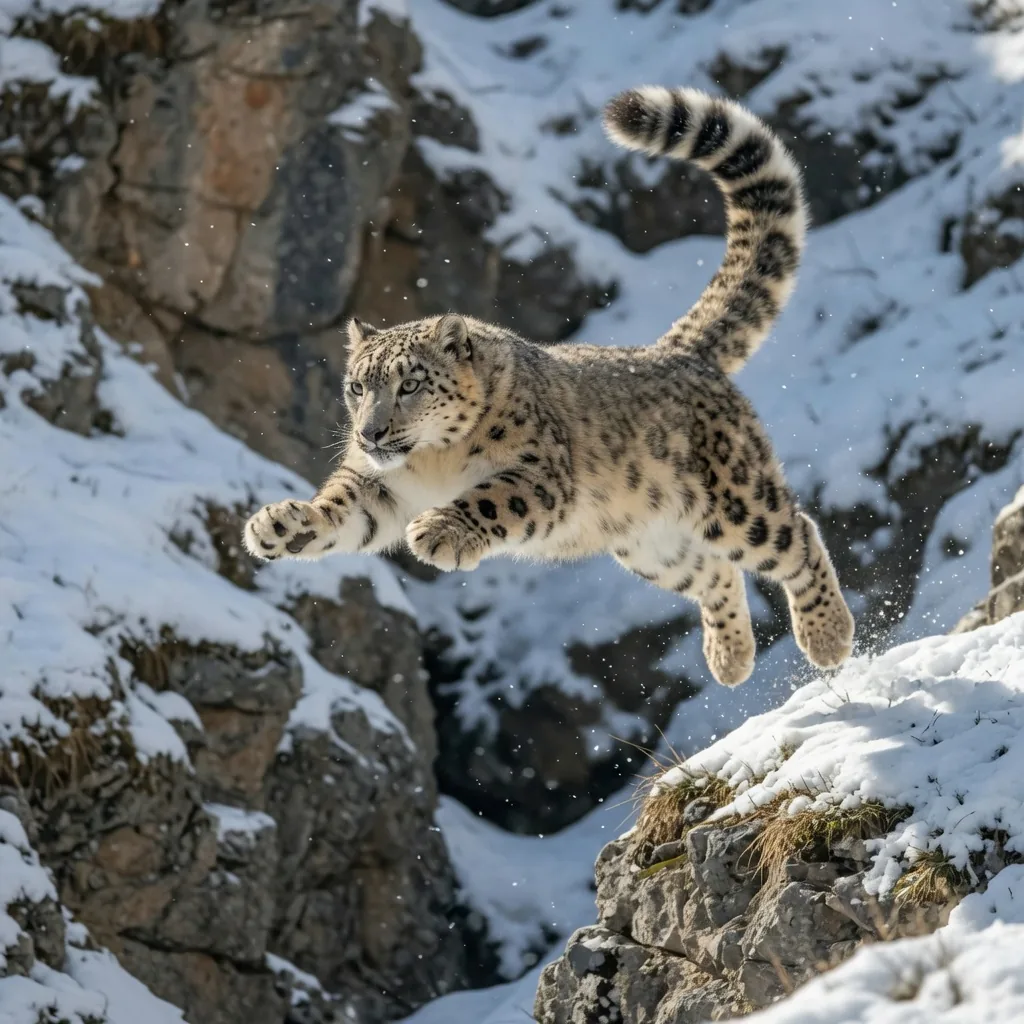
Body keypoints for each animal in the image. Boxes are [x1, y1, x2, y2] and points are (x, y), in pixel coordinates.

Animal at [243, 85, 855, 687]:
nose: (370, 434)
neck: (433, 463)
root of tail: (676, 352)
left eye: (411, 383)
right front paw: (282, 524)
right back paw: (730, 657)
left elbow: (490, 498)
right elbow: (344, 509)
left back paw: (828, 638)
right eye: (356, 387)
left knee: (795, 535)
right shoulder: (379, 486)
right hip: (651, 543)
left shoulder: (539, 471)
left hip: (733, 498)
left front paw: (440, 529)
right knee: (714, 571)